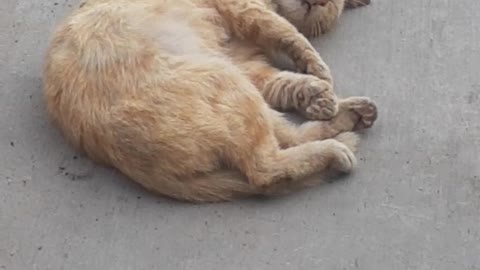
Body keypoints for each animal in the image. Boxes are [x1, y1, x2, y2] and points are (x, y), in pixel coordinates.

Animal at [44, 0, 376, 202]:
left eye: (330, 6)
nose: (318, 2)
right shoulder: (246, 12)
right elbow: (290, 34)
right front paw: (321, 76)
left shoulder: (246, 63)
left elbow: (286, 81)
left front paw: (317, 95)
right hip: (226, 79)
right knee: (264, 169)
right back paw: (336, 147)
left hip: (234, 84)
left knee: (285, 142)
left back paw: (351, 116)